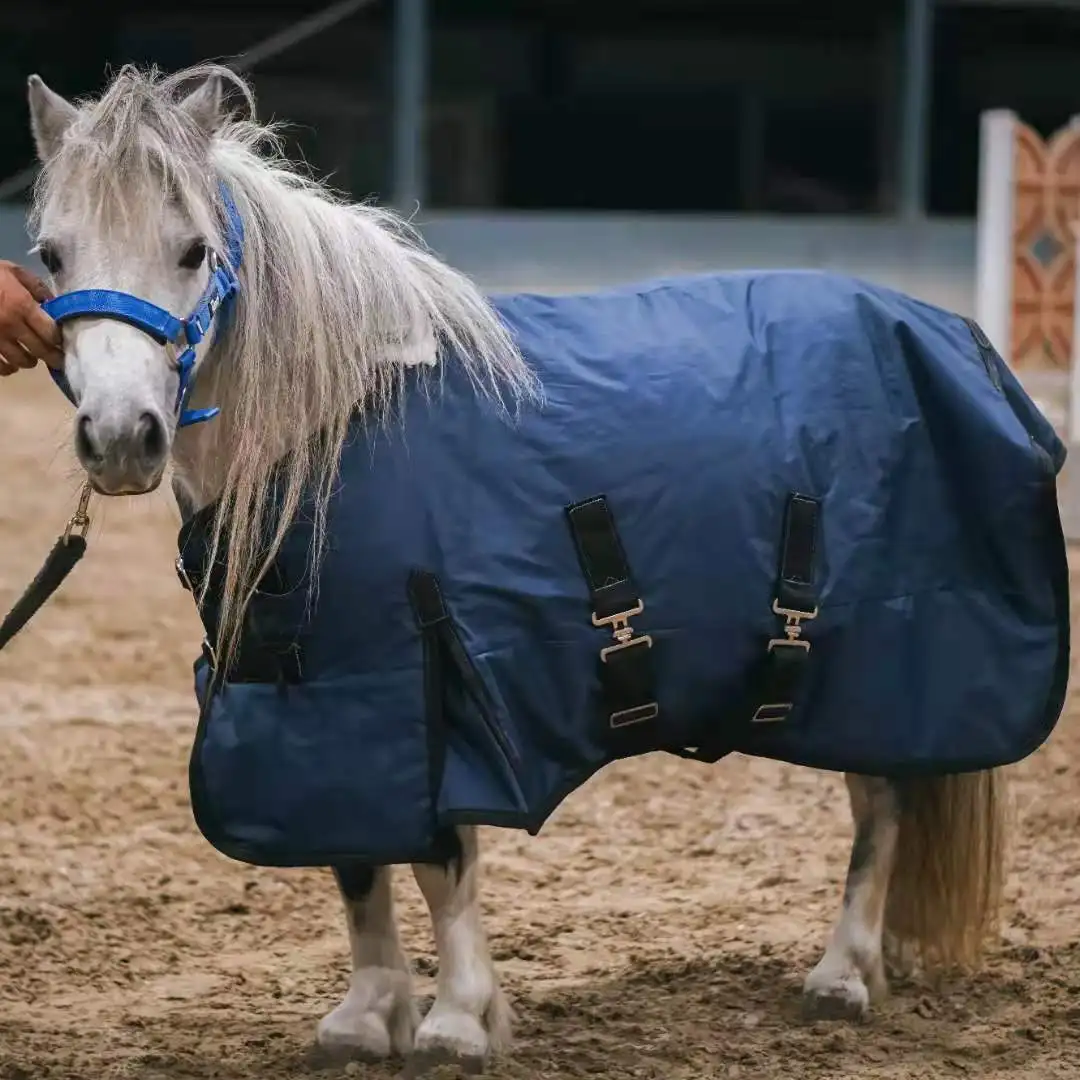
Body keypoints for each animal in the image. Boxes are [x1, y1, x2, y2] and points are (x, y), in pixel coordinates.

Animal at [24, 62, 1015, 1073]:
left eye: (192, 252)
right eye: (52, 256)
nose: (120, 437)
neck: (337, 428)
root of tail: (935, 328)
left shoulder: (430, 678)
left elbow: (441, 862)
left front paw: (457, 1022)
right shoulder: (328, 706)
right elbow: (355, 859)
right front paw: (367, 1016)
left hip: (876, 674)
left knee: (881, 805)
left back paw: (842, 975)